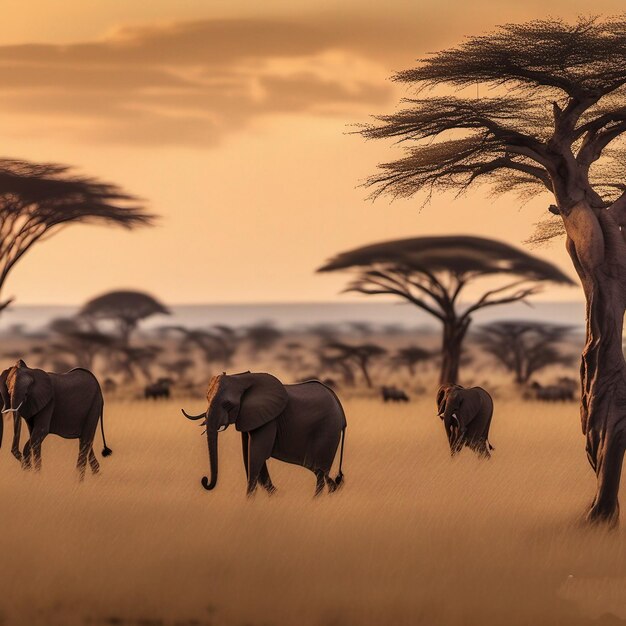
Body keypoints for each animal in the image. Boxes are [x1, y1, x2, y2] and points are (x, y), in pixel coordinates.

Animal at [180, 370, 346, 498]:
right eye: (207, 398)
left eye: (227, 404)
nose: (204, 480)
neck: (242, 379)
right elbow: (249, 456)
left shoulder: (269, 420)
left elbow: (256, 454)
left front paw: (248, 503)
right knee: (321, 472)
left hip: (328, 430)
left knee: (321, 472)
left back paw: (316, 501)